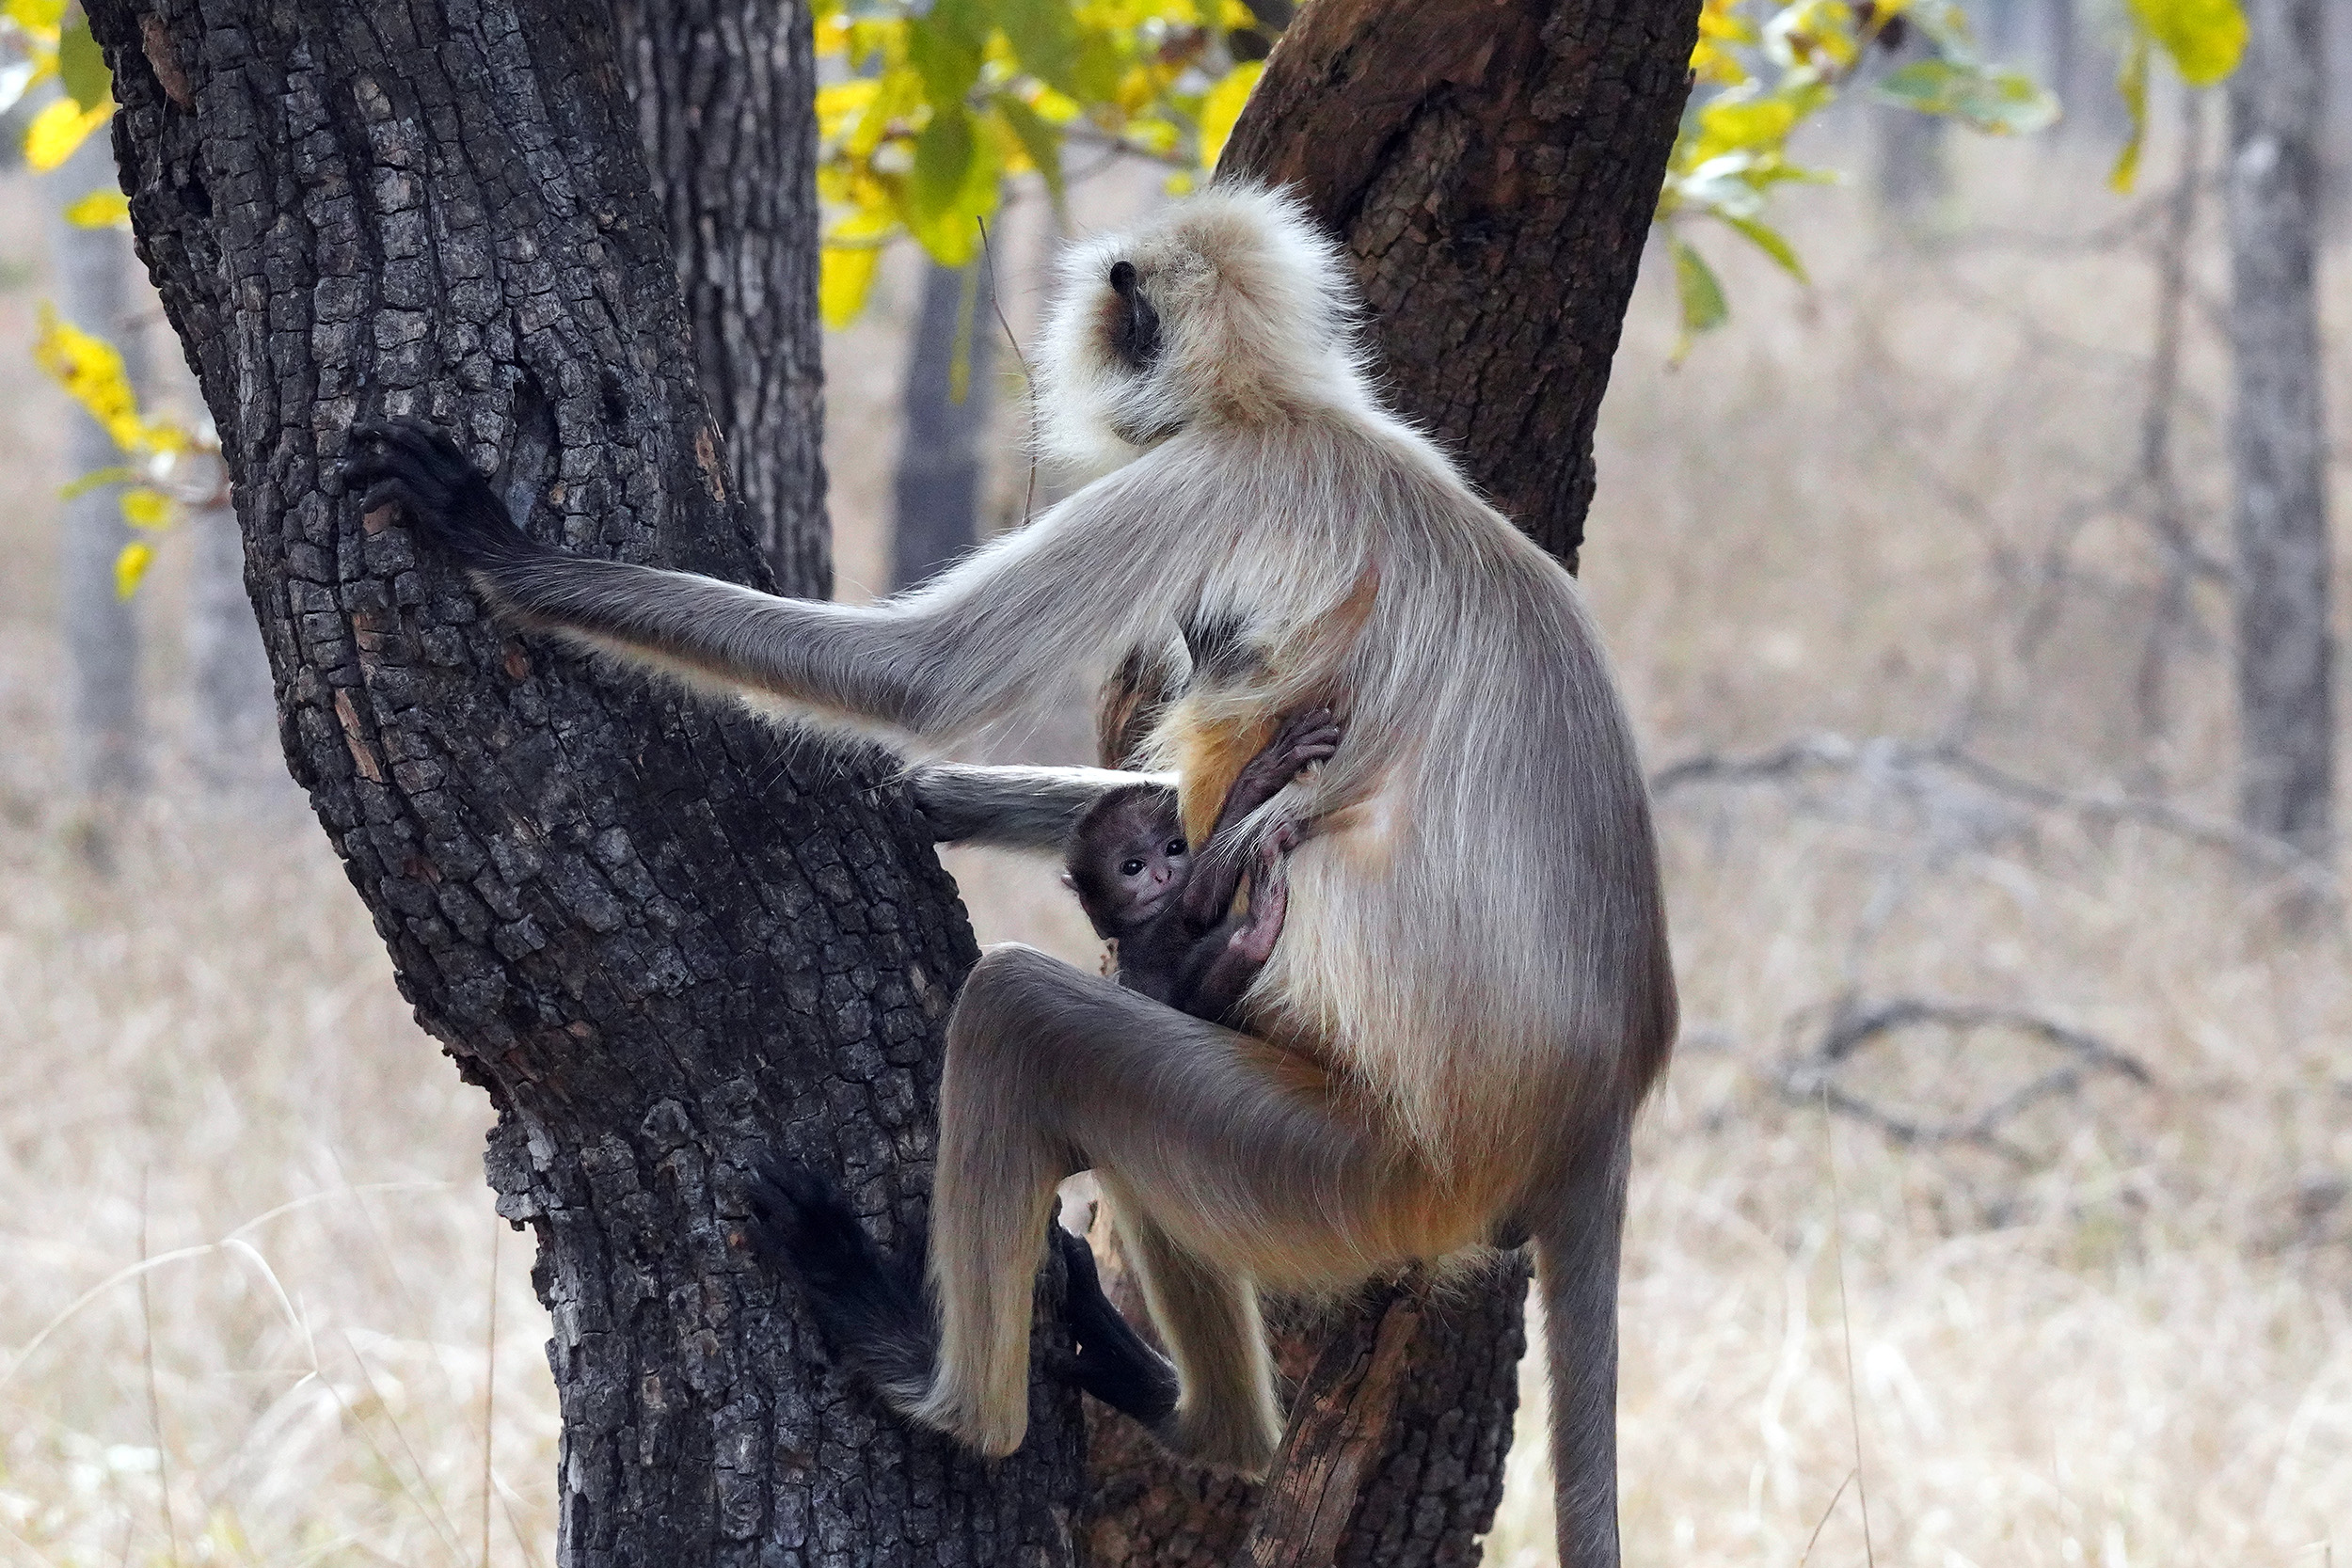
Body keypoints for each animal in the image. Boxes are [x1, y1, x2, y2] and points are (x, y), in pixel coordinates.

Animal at [1066, 705, 1340, 1026]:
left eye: (1174, 848)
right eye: (1133, 867)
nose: (1163, 875)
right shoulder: (1155, 933)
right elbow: (1197, 908)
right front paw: (1259, 776)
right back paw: (1258, 929)